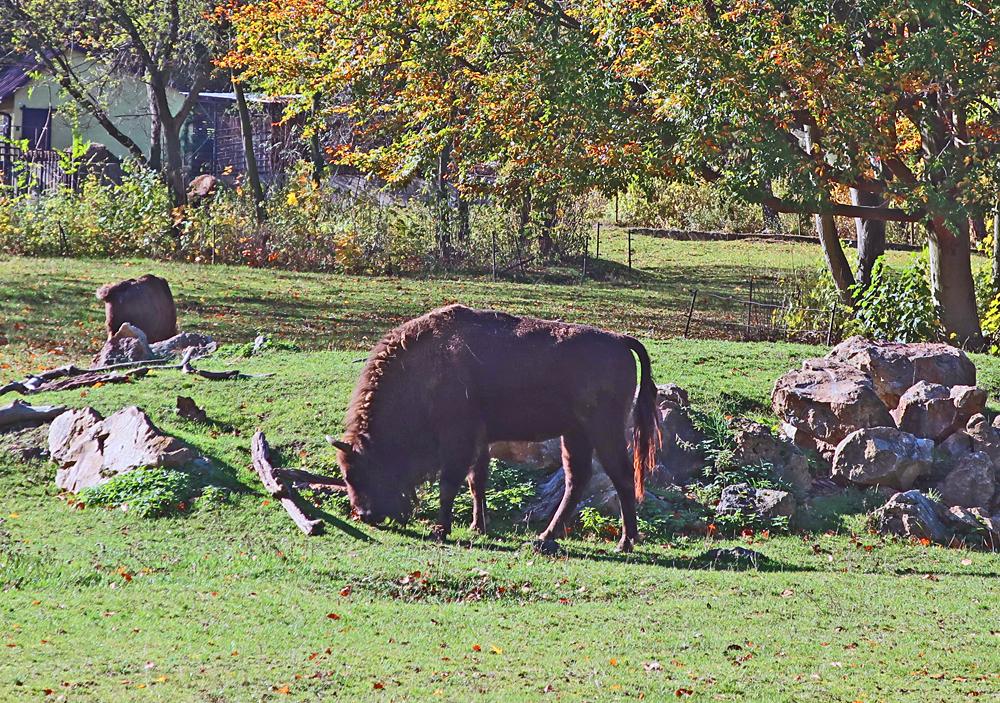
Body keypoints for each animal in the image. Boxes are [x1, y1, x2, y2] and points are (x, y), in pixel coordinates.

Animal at [330, 306, 664, 552]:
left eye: (358, 471)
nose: (366, 515)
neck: (424, 369)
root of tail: (619, 339)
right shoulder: (480, 442)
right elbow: (476, 482)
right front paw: (478, 527)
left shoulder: (459, 439)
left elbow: (450, 483)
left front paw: (441, 530)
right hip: (574, 434)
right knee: (576, 479)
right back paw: (545, 538)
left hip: (603, 430)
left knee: (622, 477)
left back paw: (625, 543)